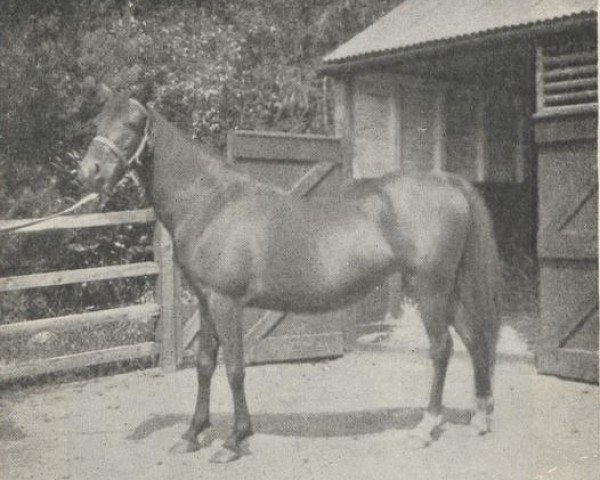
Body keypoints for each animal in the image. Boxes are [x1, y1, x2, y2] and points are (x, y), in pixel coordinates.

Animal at [78, 87, 502, 464]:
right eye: (98, 121)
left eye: (132, 123)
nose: (89, 172)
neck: (211, 203)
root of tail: (447, 181)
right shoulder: (205, 299)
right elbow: (204, 365)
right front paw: (192, 435)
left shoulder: (226, 302)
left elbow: (234, 368)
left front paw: (234, 441)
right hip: (447, 290)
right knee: (473, 339)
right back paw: (480, 416)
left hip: (430, 289)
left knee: (442, 348)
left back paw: (426, 426)